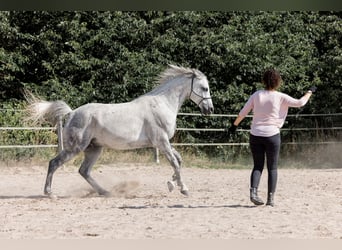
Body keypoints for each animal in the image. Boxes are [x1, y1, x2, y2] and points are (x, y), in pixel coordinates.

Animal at [26, 64, 214, 197]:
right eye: (204, 88)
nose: (210, 109)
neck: (162, 104)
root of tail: (72, 113)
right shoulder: (161, 141)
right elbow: (175, 162)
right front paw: (183, 188)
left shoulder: (162, 143)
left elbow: (179, 161)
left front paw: (172, 183)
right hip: (76, 147)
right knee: (54, 163)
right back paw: (50, 193)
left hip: (94, 148)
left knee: (84, 171)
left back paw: (106, 192)